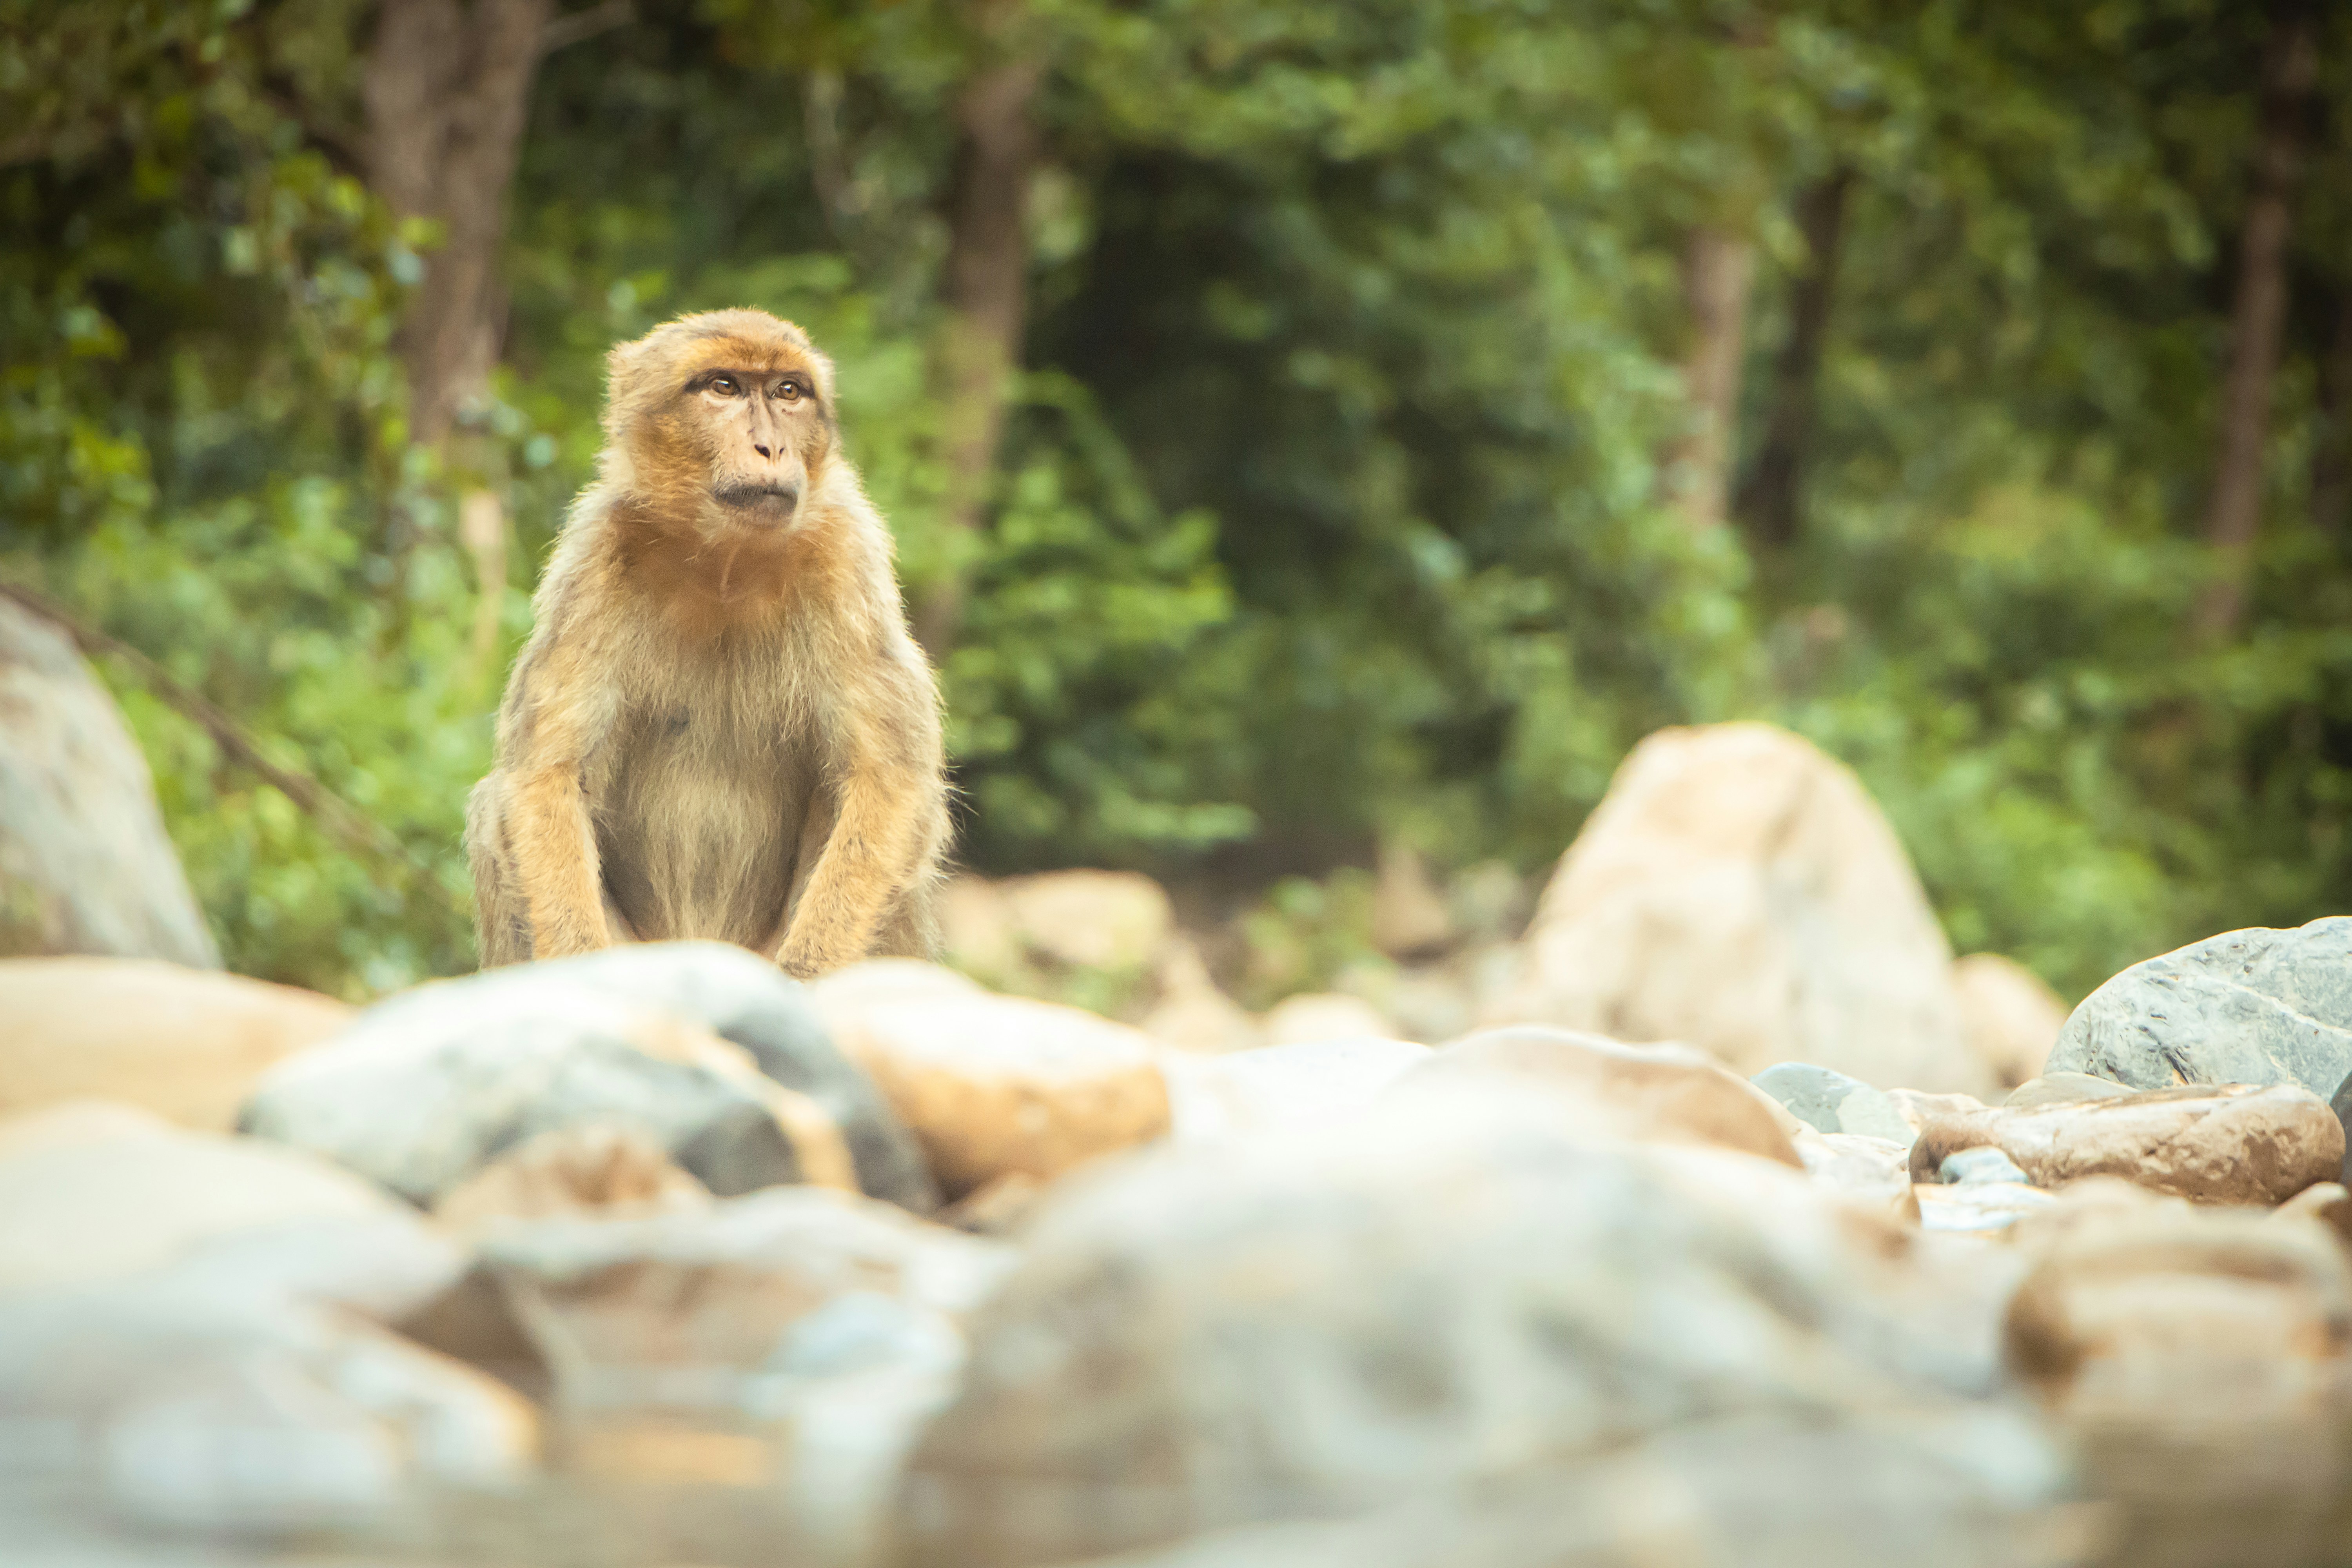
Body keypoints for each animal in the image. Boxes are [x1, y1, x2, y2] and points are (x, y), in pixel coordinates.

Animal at [464, 308, 949, 978]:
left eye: (788, 392)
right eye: (724, 387)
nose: (772, 447)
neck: (726, 566)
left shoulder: (847, 551)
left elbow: (891, 780)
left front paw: (804, 983)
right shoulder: (594, 557)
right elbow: (544, 777)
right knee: (496, 807)